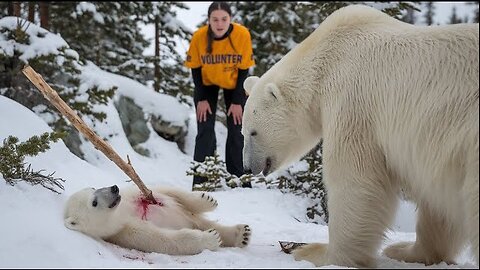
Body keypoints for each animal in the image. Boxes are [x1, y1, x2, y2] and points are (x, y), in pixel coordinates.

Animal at [242, 3, 478, 268]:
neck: (326, 55)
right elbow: (436, 202)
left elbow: (355, 178)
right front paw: (407, 250)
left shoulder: (352, 99)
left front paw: (318, 253)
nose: (247, 167)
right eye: (242, 131)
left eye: (253, 132)